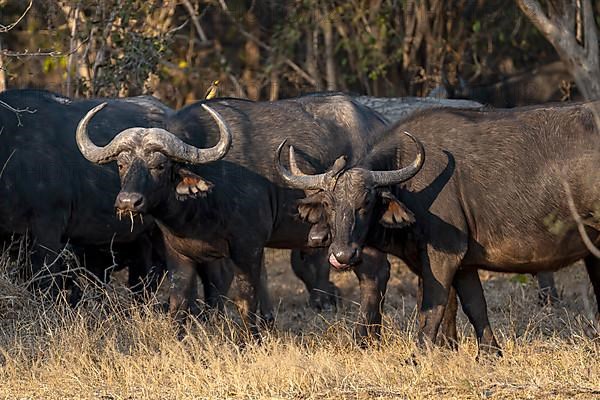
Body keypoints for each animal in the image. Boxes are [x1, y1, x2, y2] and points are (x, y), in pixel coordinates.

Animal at [76, 94, 418, 340]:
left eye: (160, 165)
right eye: (122, 164)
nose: (128, 201)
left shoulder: (247, 247)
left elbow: (246, 296)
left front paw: (250, 339)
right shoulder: (178, 254)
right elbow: (179, 301)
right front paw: (176, 340)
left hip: (356, 234)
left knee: (374, 275)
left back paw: (364, 336)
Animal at [278, 101, 600, 356]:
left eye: (366, 202)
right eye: (329, 203)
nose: (342, 255)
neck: (412, 186)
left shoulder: (442, 257)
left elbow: (433, 307)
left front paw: (418, 356)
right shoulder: (464, 265)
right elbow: (473, 305)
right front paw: (487, 354)